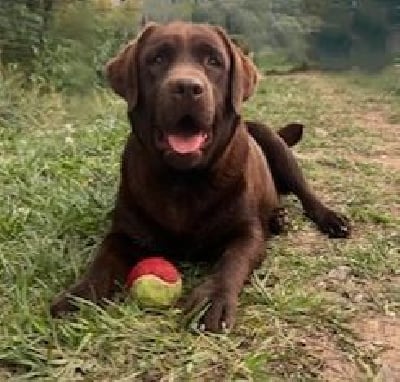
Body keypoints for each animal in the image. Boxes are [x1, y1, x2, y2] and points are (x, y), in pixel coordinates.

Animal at [50, 21, 350, 332]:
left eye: (214, 61)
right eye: (157, 59)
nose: (186, 87)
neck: (183, 180)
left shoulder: (247, 234)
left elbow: (231, 262)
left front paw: (212, 298)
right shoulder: (123, 232)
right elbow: (102, 261)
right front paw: (78, 297)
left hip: (274, 142)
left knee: (305, 193)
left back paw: (328, 218)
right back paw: (279, 217)